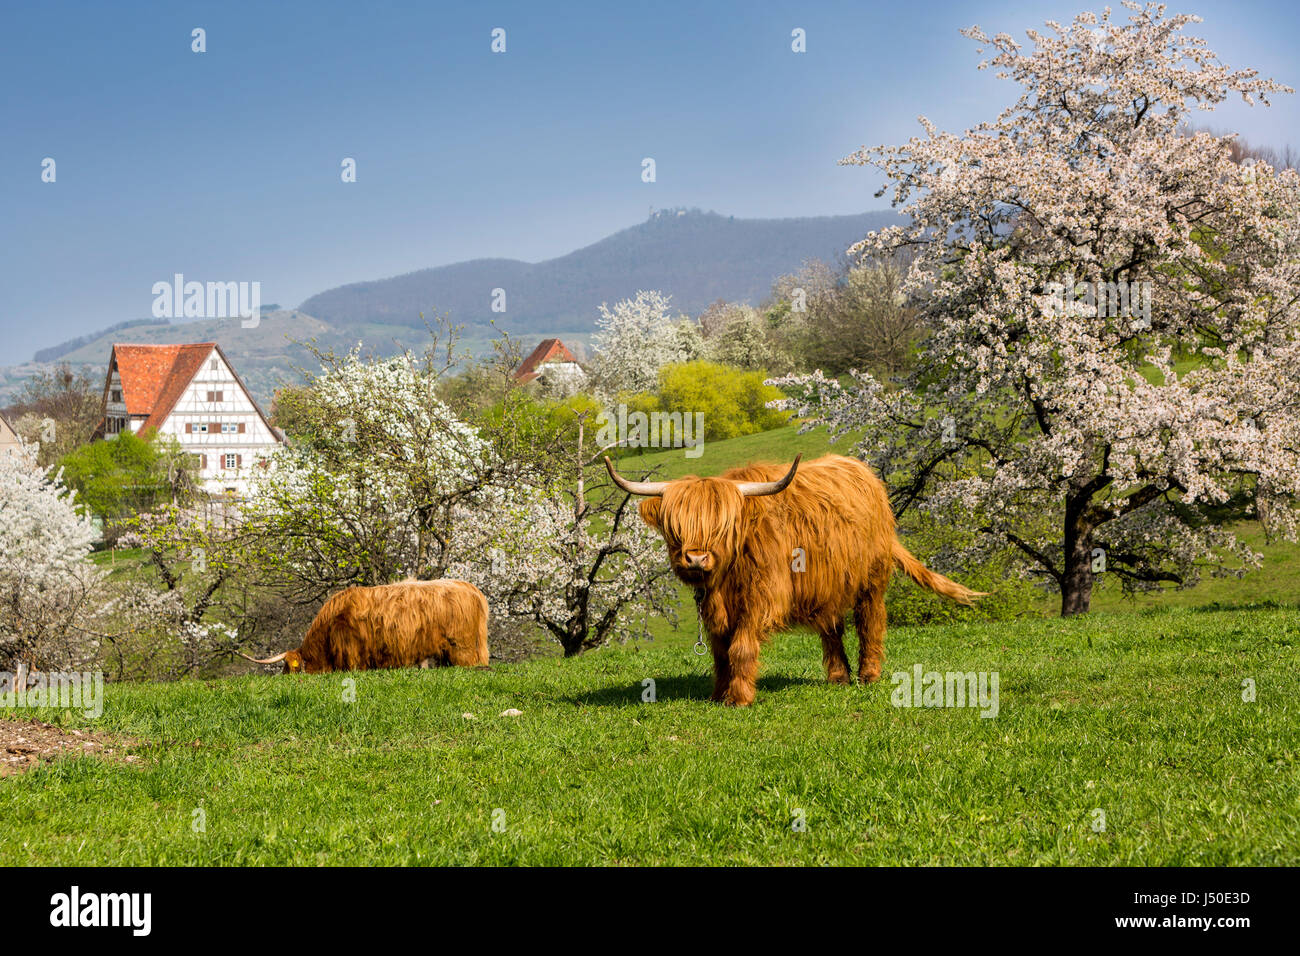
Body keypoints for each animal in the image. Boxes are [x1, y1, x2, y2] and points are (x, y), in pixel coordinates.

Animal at [608, 452, 982, 707]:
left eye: (722, 528)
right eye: (675, 528)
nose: (696, 558)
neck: (727, 577)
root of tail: (864, 474)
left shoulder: (761, 598)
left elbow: (741, 647)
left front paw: (739, 698)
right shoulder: (716, 611)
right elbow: (720, 652)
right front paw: (718, 694)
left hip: (872, 580)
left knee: (870, 621)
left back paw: (868, 675)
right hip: (828, 585)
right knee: (832, 628)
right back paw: (838, 677)